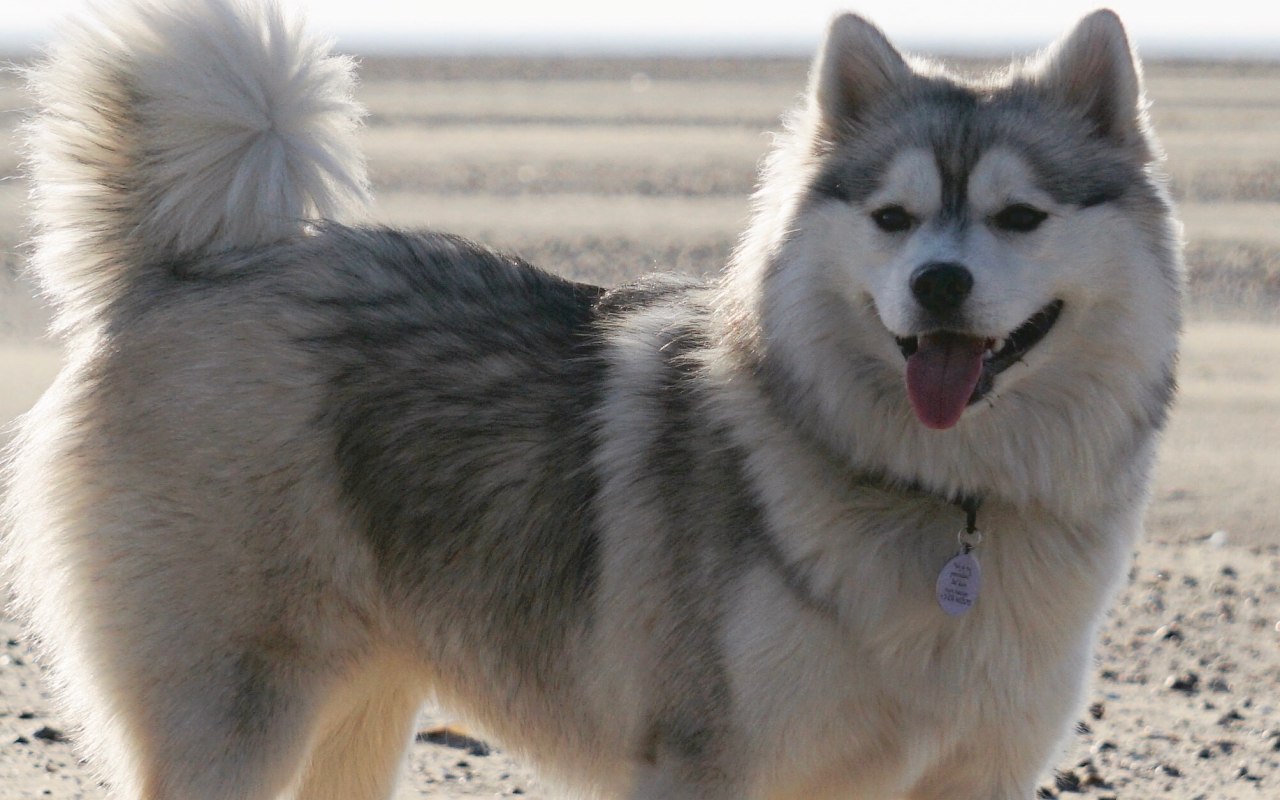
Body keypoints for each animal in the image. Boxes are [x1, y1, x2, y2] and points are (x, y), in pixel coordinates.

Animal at [2, 1, 1177, 798]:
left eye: (1019, 217)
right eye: (893, 217)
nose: (937, 282)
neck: (943, 498)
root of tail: (189, 268)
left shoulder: (971, 773)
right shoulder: (705, 762)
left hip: (359, 709)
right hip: (236, 714)